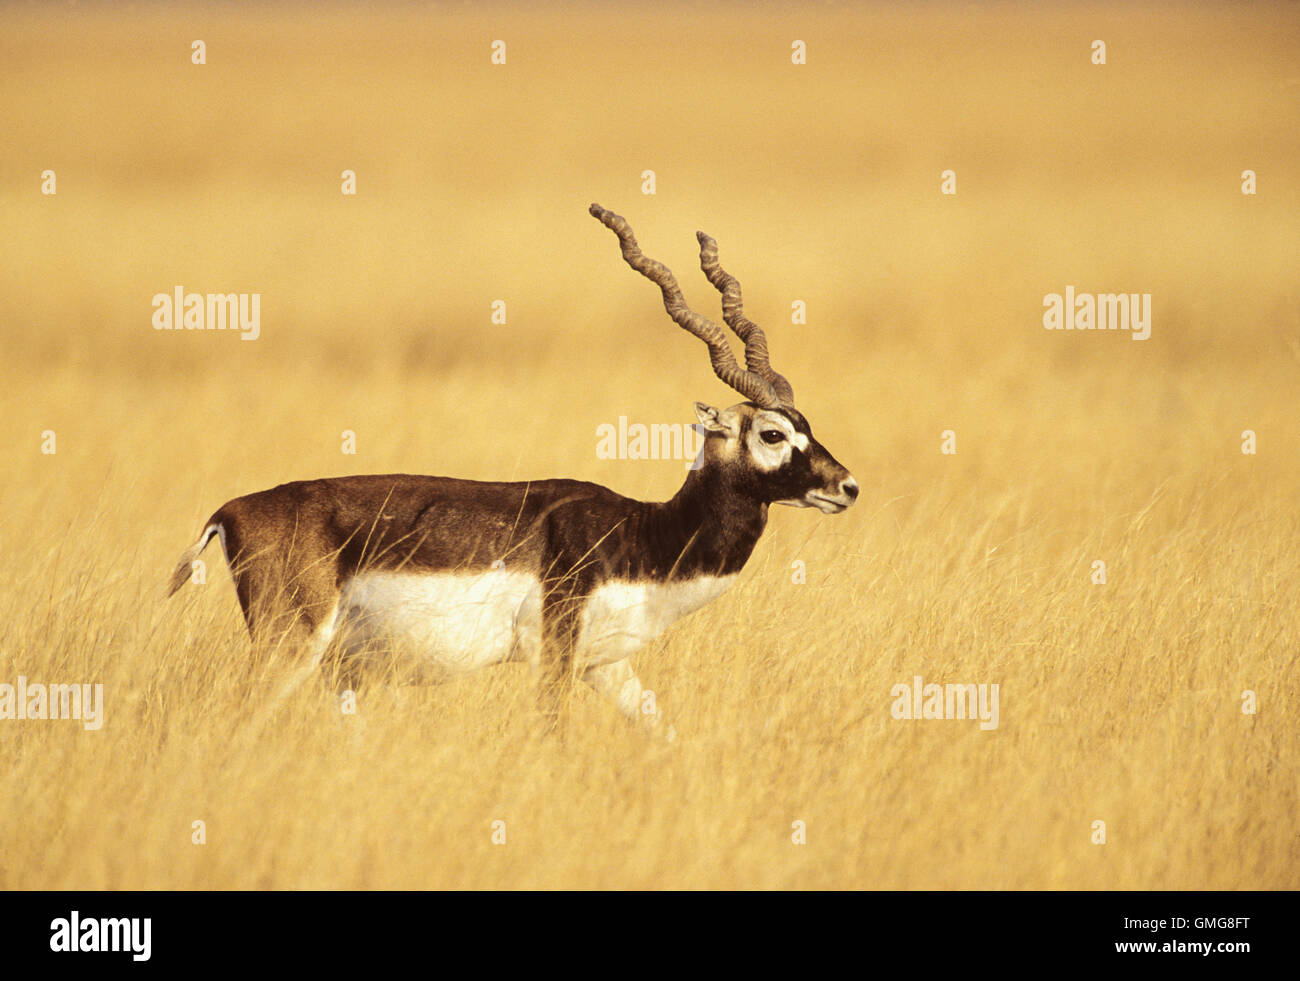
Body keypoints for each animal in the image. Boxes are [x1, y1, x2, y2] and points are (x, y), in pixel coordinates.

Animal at [167, 205, 857, 738]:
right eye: (772, 433)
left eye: (807, 424)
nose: (846, 486)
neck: (644, 538)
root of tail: (231, 511)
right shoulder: (554, 653)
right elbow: (553, 733)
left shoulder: (606, 666)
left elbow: (663, 730)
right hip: (290, 647)